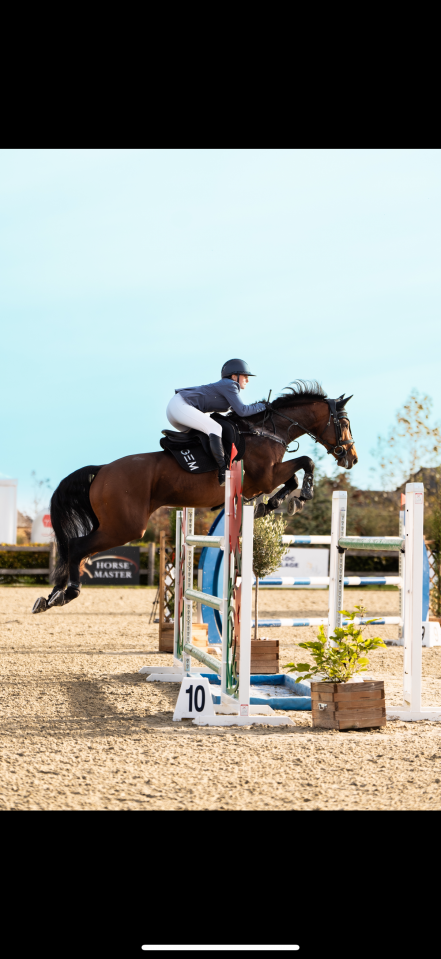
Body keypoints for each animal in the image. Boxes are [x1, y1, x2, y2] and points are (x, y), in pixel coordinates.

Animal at [32, 381, 357, 613]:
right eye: (344, 423)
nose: (350, 458)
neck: (267, 430)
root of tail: (101, 470)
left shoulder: (267, 478)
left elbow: (293, 476)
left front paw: (276, 504)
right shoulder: (265, 476)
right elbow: (305, 463)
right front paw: (301, 496)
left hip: (115, 524)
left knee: (76, 549)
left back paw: (52, 596)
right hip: (125, 527)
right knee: (77, 546)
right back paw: (65, 594)